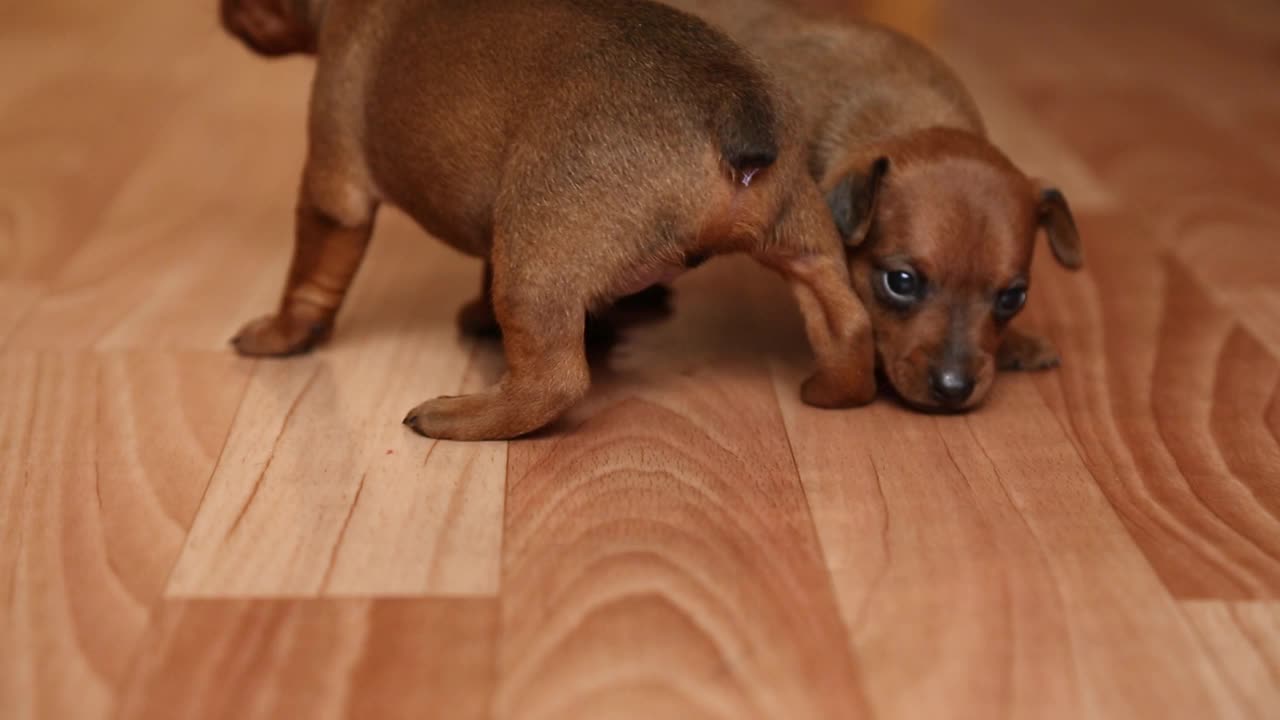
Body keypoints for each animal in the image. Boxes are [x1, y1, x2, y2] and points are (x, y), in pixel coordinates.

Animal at [222, 0, 880, 438]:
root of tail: (731, 105)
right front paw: (480, 316)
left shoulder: (335, 185)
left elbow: (309, 277)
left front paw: (280, 334)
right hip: (805, 237)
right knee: (846, 323)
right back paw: (835, 390)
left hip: (535, 265)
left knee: (554, 380)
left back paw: (459, 415)